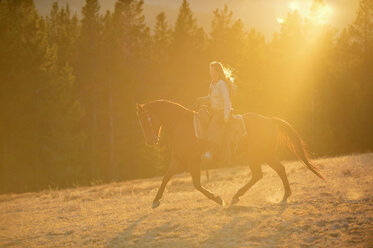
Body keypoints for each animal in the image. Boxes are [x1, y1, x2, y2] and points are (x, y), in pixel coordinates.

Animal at [135, 99, 322, 207]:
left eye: (145, 120)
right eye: (140, 121)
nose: (150, 141)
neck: (182, 124)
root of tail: (270, 120)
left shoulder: (193, 161)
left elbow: (196, 184)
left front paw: (218, 199)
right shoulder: (177, 159)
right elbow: (166, 177)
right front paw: (156, 200)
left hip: (261, 155)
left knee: (275, 170)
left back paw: (281, 196)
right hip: (258, 156)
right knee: (261, 174)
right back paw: (241, 196)